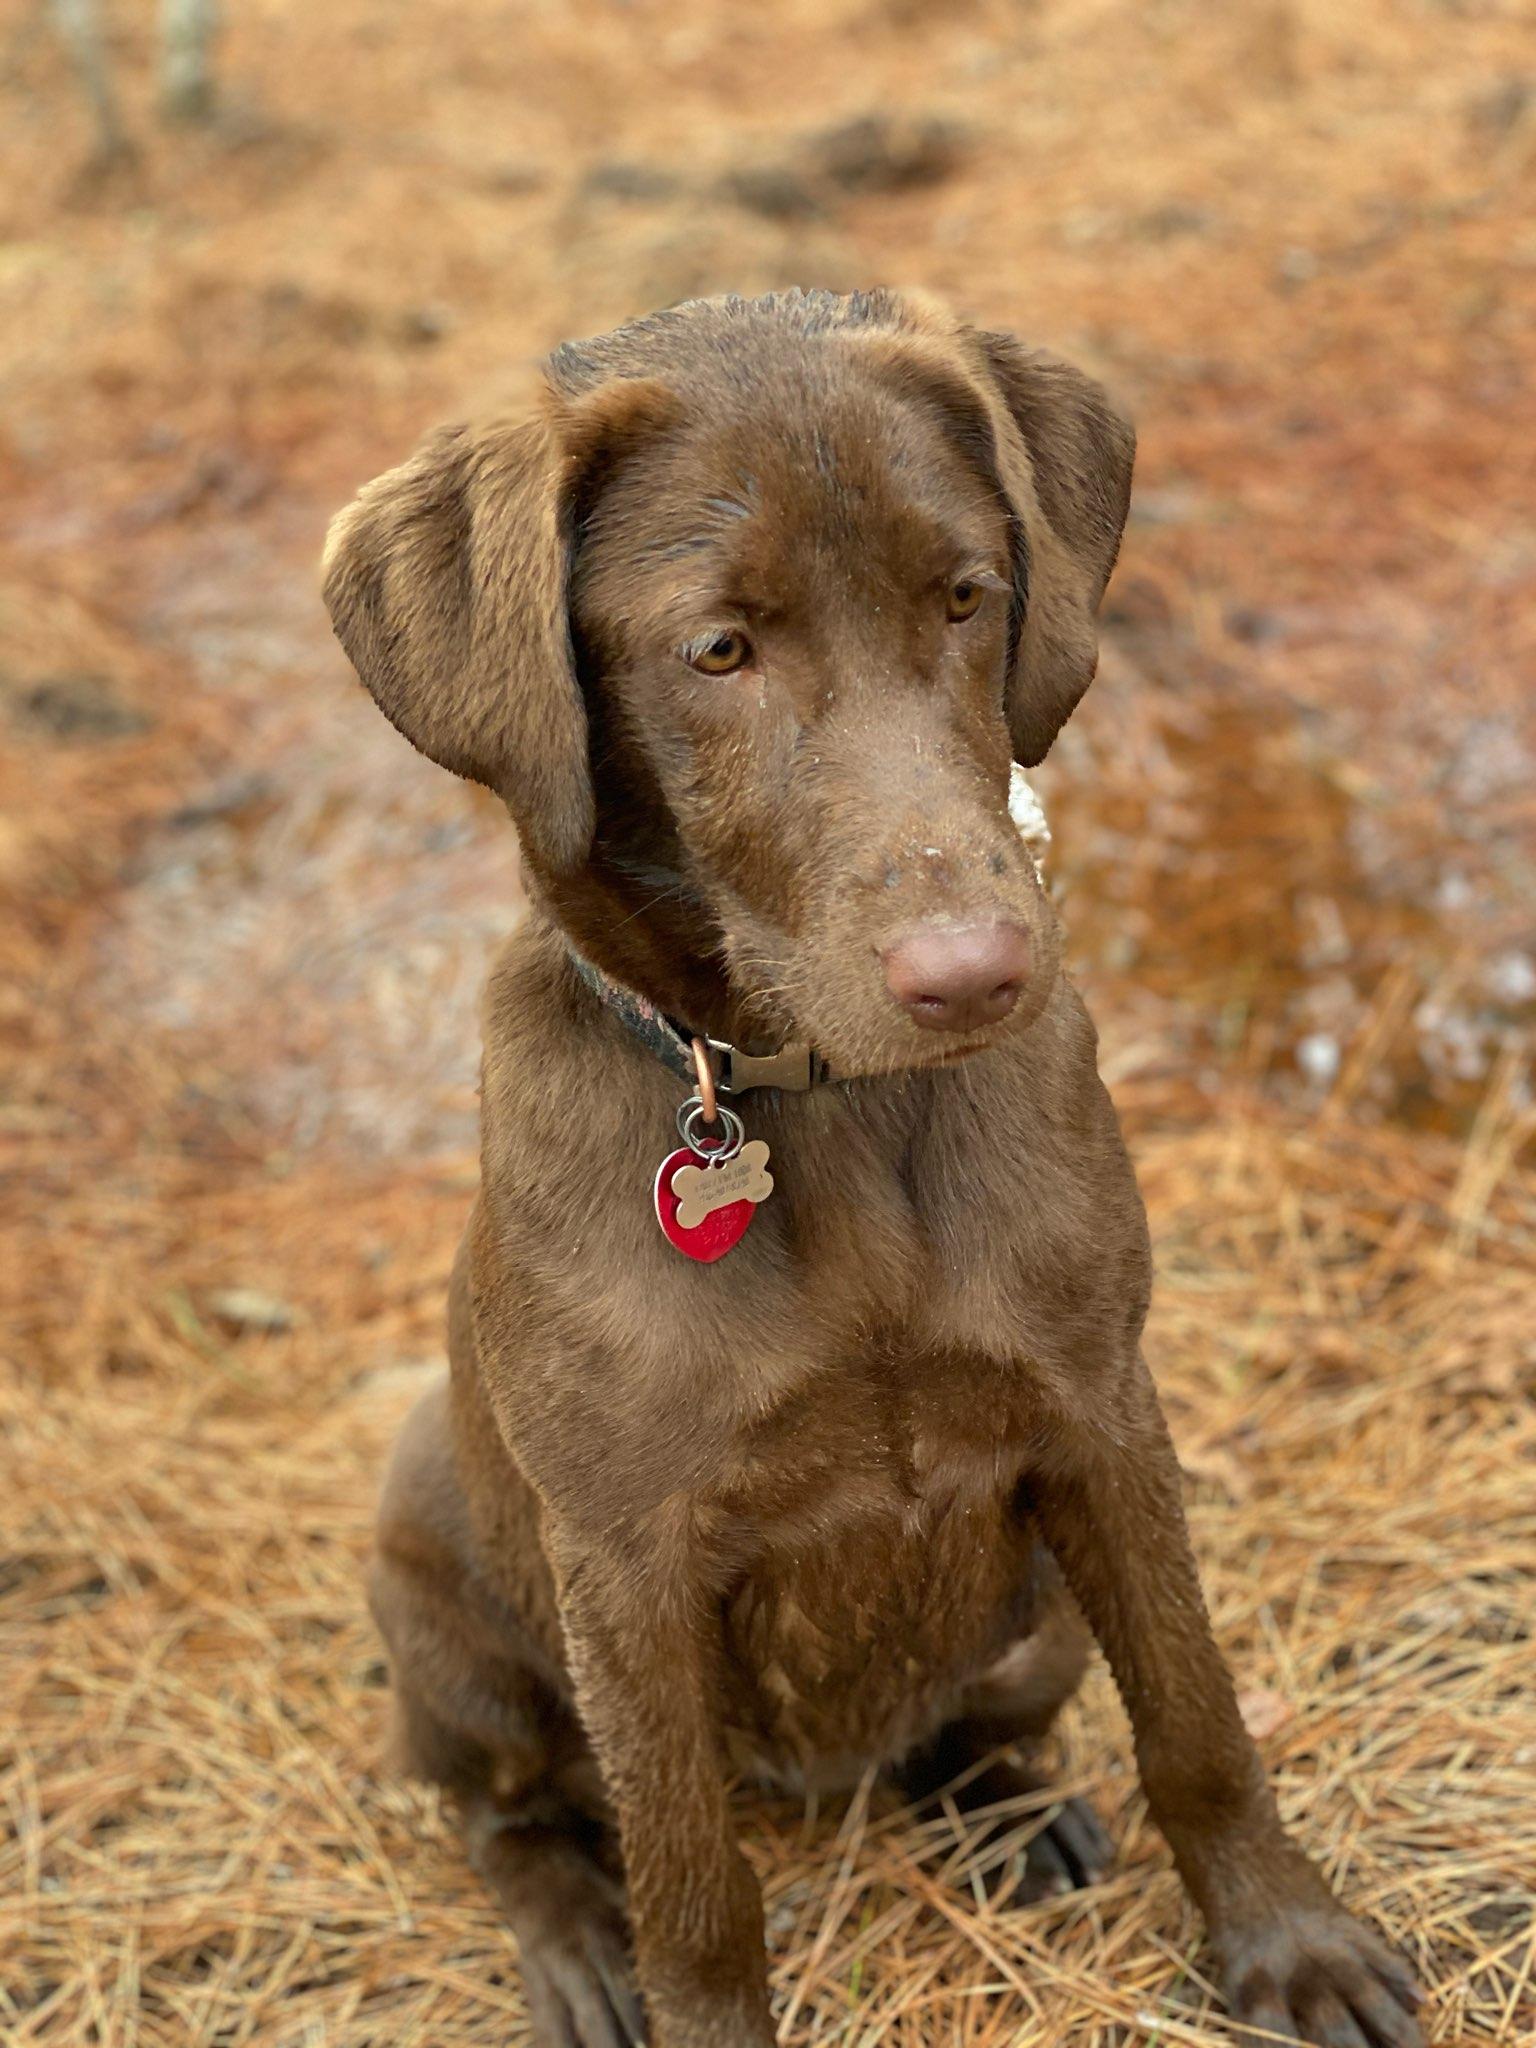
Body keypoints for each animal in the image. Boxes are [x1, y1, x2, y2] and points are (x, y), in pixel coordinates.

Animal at [319, 288, 1425, 2048]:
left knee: (979, 1723)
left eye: (967, 598)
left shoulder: (1103, 1414)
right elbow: (692, 1884)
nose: (977, 977)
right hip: (446, 1606)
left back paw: (1007, 1810)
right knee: (516, 1817)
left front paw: (1289, 1944)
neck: (827, 1119)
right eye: (718, 650)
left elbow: (1197, 1720)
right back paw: (575, 1953)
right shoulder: (625, 1560)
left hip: (1035, 1621)